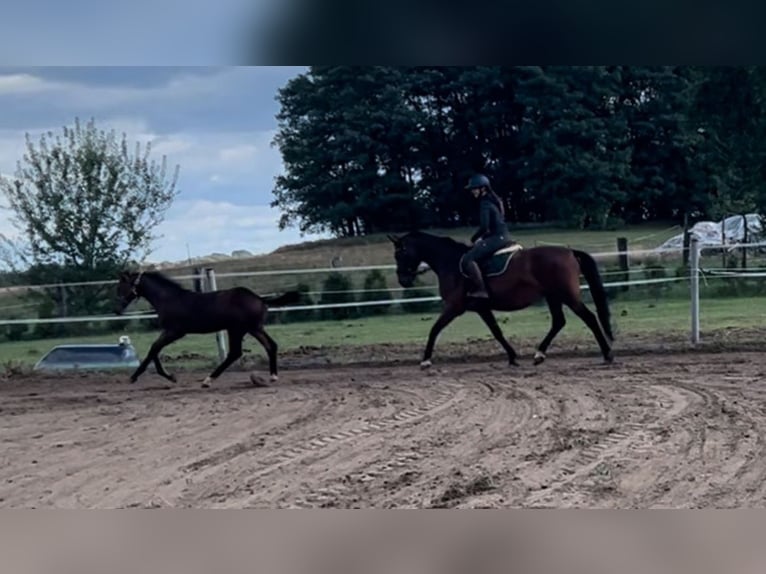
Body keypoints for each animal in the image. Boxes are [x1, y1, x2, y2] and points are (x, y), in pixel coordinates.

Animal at [115, 272, 302, 390]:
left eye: (121, 286)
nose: (117, 309)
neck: (169, 299)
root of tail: (259, 298)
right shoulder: (169, 331)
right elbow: (154, 349)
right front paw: (169, 376)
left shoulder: (175, 331)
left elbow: (154, 348)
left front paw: (135, 377)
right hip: (254, 328)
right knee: (271, 345)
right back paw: (273, 376)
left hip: (237, 329)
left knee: (235, 353)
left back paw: (207, 381)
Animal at [390, 233, 616, 368]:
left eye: (400, 253)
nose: (403, 280)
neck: (451, 263)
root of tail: (569, 251)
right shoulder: (482, 308)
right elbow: (497, 332)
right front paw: (512, 357)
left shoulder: (454, 307)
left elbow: (434, 329)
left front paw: (425, 360)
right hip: (553, 297)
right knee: (559, 322)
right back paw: (539, 354)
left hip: (567, 296)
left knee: (589, 318)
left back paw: (607, 354)